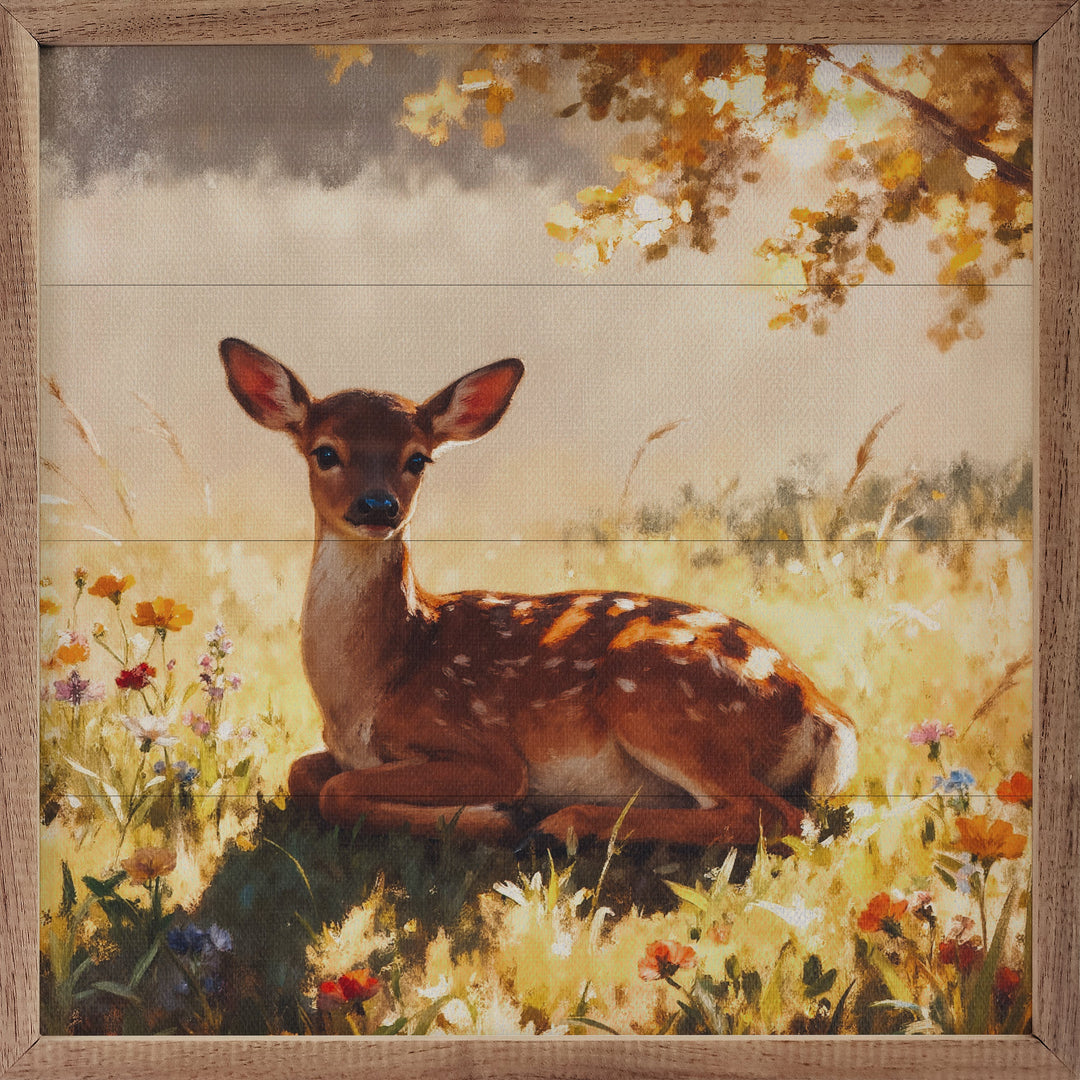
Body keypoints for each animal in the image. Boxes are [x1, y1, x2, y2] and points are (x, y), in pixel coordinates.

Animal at [220, 338, 857, 849]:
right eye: (325, 451)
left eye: (417, 459)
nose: (377, 506)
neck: (370, 688)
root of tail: (824, 715)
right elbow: (303, 773)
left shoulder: (481, 747)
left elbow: (337, 790)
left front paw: (496, 815)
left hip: (655, 692)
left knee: (775, 816)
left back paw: (564, 822)